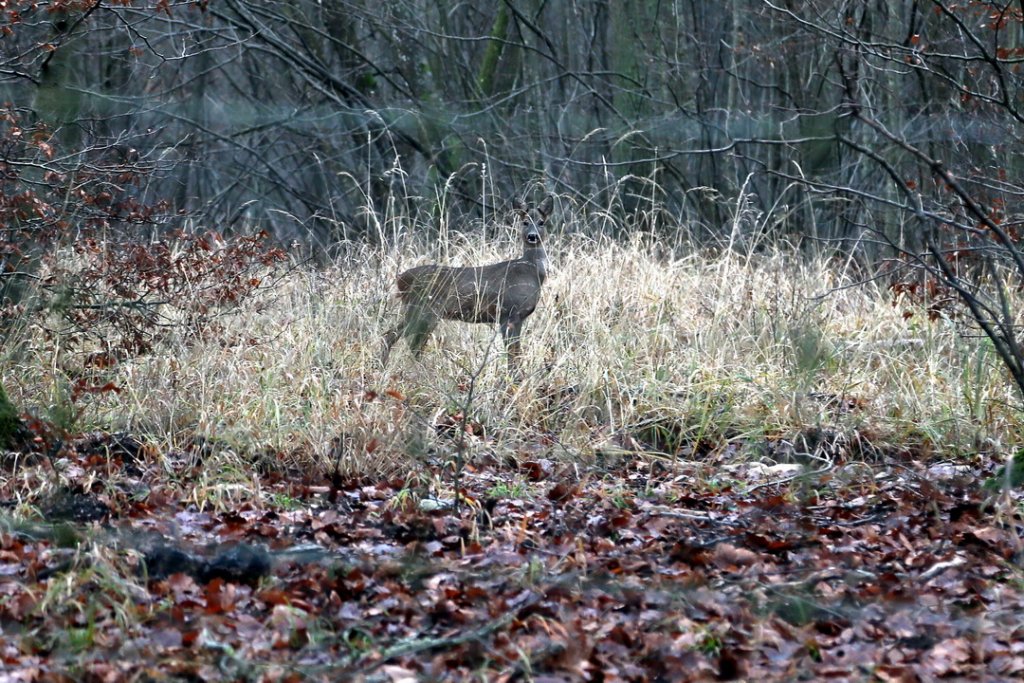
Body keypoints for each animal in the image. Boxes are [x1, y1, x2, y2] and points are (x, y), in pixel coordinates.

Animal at [380, 194, 552, 370]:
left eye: (541, 222)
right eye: (525, 222)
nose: (532, 236)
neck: (530, 271)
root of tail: (400, 279)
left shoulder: (517, 317)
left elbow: (515, 353)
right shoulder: (508, 313)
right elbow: (512, 354)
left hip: (418, 311)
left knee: (396, 337)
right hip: (423, 310)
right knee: (404, 340)